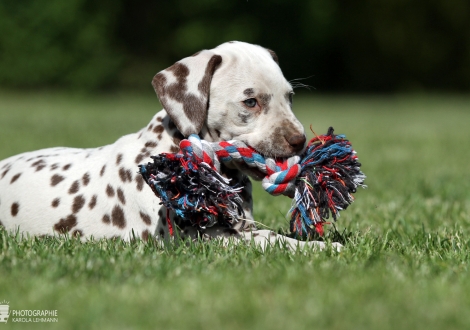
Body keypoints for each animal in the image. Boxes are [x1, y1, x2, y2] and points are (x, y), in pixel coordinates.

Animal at [0, 42, 342, 253]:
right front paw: (320, 248)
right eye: (250, 101)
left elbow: (269, 235)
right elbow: (271, 241)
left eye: (290, 97)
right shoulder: (203, 239)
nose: (300, 141)